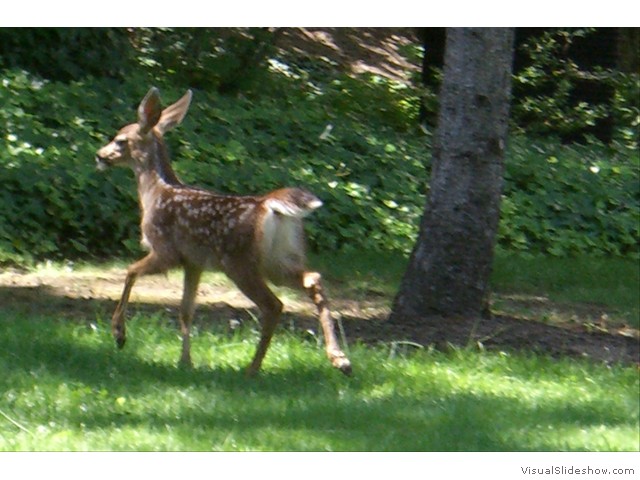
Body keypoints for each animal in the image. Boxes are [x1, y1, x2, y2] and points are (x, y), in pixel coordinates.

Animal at [95, 87, 352, 377]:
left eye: (120, 140)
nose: (99, 155)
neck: (155, 193)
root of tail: (271, 208)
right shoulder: (193, 263)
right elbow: (186, 310)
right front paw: (185, 362)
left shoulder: (166, 251)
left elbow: (130, 271)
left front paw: (119, 334)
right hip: (279, 259)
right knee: (313, 279)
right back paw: (340, 359)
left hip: (239, 261)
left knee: (273, 305)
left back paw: (253, 369)